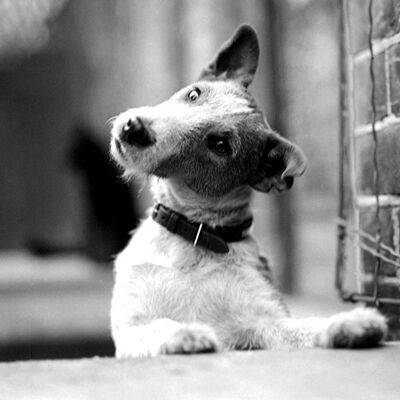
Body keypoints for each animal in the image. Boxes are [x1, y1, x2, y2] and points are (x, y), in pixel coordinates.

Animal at [108, 25, 386, 358]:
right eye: (193, 94)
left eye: (219, 145)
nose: (134, 128)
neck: (196, 233)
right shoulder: (131, 327)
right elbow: (160, 325)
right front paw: (187, 333)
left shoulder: (265, 322)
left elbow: (308, 326)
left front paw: (351, 323)